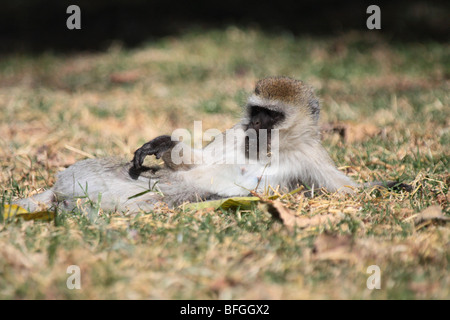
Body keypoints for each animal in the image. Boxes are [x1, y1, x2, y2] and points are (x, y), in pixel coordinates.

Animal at [13, 77, 408, 212]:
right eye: (255, 111)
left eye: (272, 115)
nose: (255, 126)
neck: (273, 148)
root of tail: (59, 189)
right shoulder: (236, 132)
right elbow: (199, 162)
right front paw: (164, 144)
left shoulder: (311, 157)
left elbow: (345, 190)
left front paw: (391, 184)